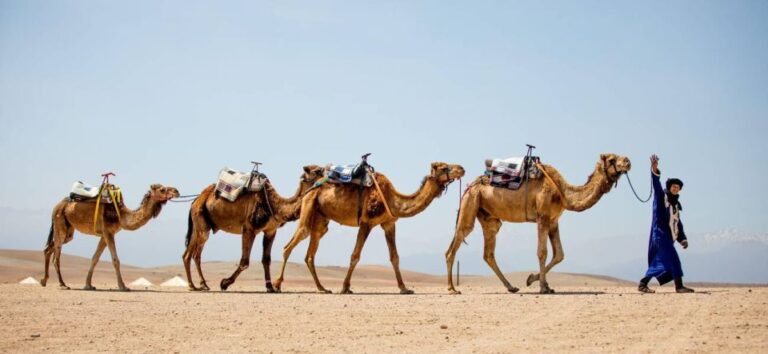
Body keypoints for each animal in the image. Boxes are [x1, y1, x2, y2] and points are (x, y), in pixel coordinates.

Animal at [42, 183, 180, 290]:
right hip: (60, 221)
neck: (121, 214)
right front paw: (123, 286)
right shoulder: (108, 232)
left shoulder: (105, 234)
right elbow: (115, 260)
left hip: (69, 230)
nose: (176, 191)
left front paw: (88, 285)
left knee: (48, 248)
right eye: (162, 189)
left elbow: (95, 258)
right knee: (56, 254)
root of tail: (57, 205)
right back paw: (62, 284)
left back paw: (44, 280)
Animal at [184, 165, 326, 292]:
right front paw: (225, 283)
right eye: (318, 170)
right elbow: (245, 261)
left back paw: (197, 285)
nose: (329, 175)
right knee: (195, 254)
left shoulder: (270, 231)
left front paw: (270, 287)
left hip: (199, 225)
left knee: (190, 254)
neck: (274, 205)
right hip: (202, 223)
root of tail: (196, 199)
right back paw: (198, 285)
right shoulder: (249, 229)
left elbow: (266, 260)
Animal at [276, 162, 468, 294]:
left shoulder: (389, 224)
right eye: (444, 167)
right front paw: (345, 287)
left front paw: (404, 288)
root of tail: (310, 188)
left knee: (310, 253)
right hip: (308, 208)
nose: (461, 168)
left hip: (320, 221)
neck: (392, 199)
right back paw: (277, 285)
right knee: (290, 244)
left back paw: (322, 288)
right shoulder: (366, 222)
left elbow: (395, 257)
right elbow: (355, 255)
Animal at [444, 153, 632, 294]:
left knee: (488, 253)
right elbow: (542, 252)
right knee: (454, 245)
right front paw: (541, 286)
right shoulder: (542, 217)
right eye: (612, 159)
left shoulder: (553, 221)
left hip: (489, 218)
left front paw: (536, 281)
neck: (561, 192)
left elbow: (559, 254)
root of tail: (470, 185)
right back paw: (452, 288)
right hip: (470, 203)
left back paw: (511, 287)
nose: (628, 161)